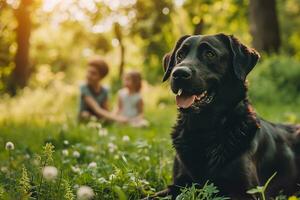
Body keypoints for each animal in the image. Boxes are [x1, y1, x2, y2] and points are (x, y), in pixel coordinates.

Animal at [151, 33, 300, 199]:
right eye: (180, 55)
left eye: (210, 54)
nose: (178, 73)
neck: (203, 130)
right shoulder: (178, 185)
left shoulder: (247, 191)